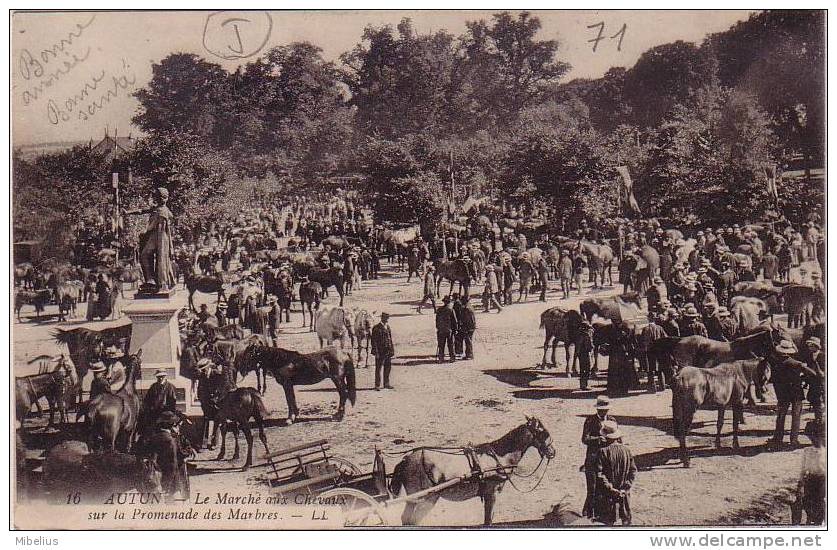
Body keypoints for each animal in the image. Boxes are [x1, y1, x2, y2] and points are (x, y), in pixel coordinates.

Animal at [386, 416, 556, 528]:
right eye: (545, 433)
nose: (553, 452)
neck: (499, 456)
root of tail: (406, 459)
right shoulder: (491, 493)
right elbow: (488, 521)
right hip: (427, 498)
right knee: (414, 521)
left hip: (413, 499)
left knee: (406, 519)